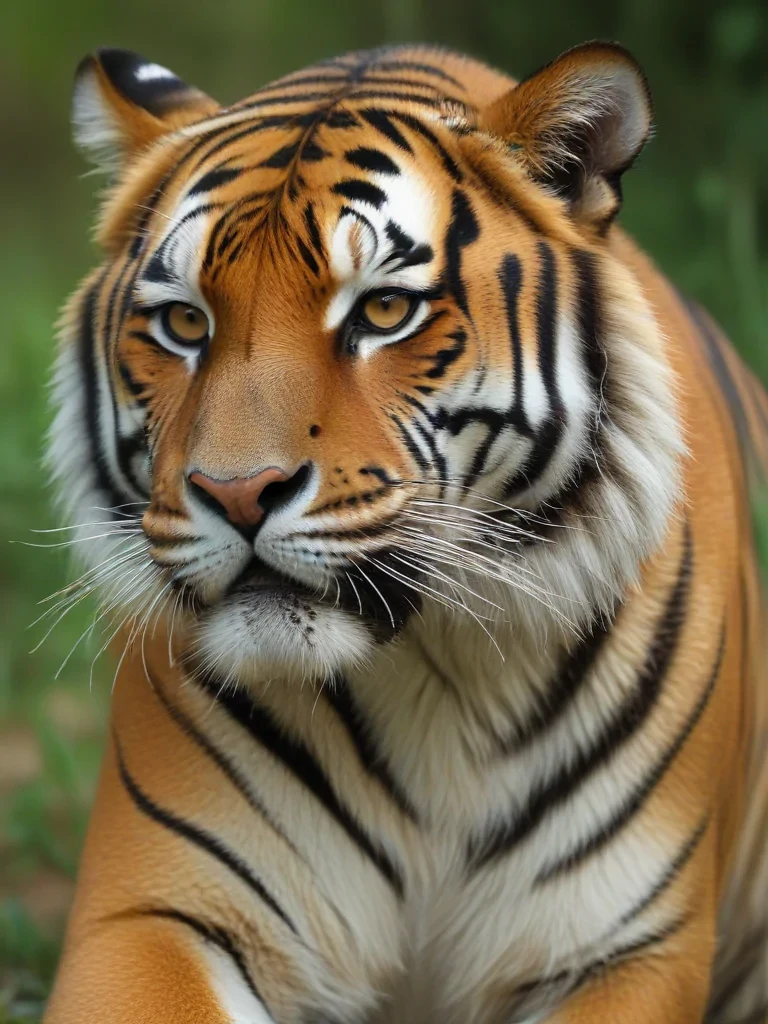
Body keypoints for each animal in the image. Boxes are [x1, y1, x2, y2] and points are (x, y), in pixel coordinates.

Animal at [41, 38, 768, 1024]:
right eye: (185, 322)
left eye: (383, 313)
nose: (237, 493)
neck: (430, 672)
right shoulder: (151, 912)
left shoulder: (624, 949)